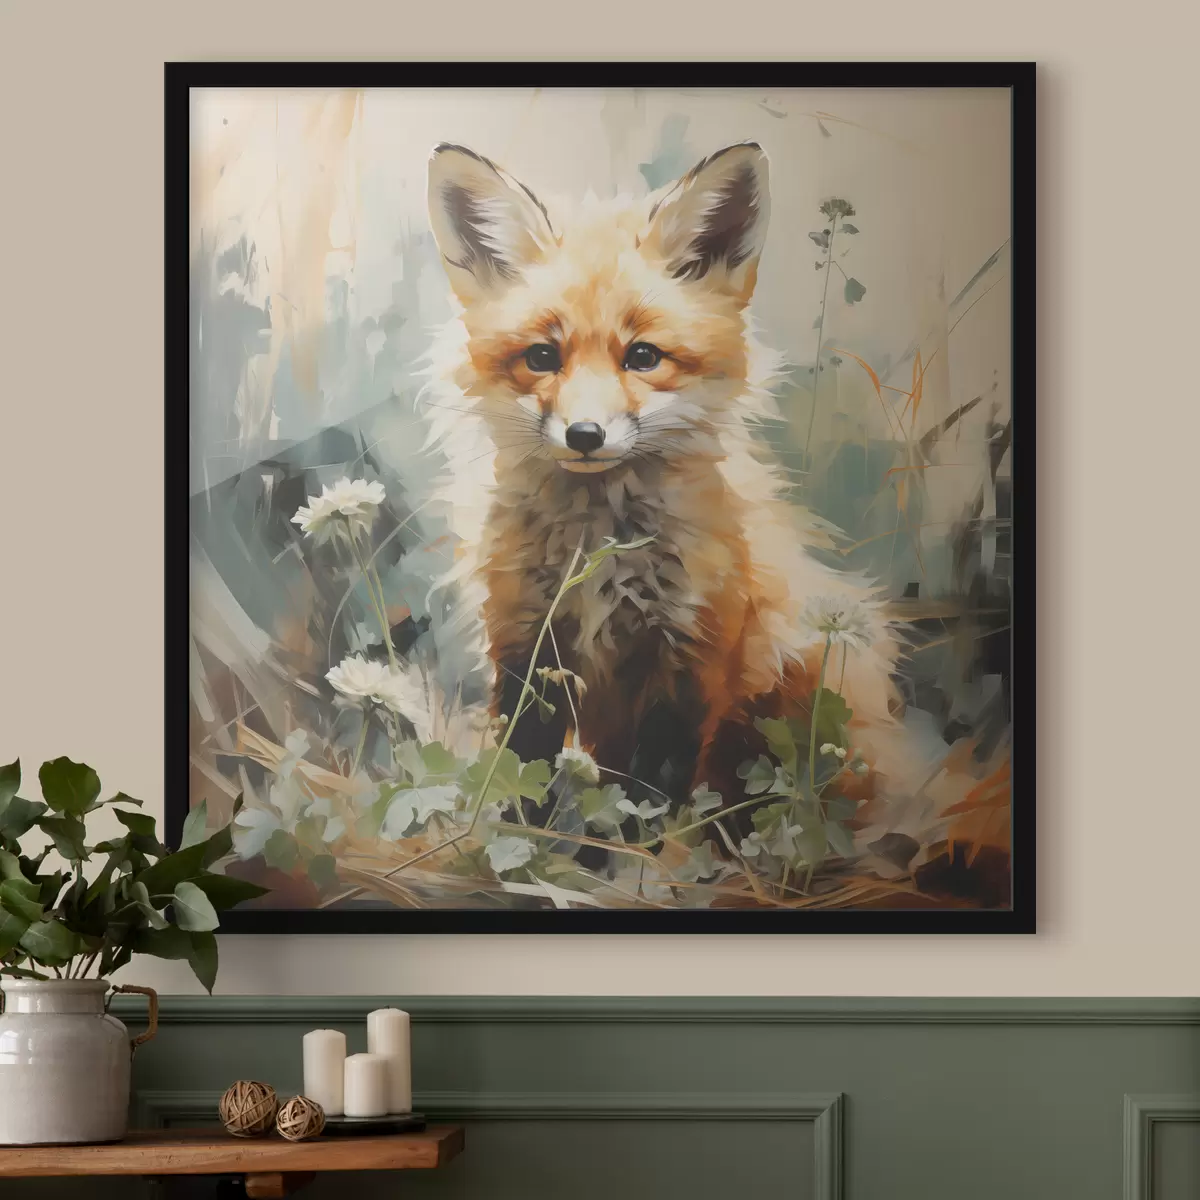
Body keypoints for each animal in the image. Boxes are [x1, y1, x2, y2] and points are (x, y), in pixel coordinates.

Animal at [422, 141, 914, 819]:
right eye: (542, 357)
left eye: (643, 357)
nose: (584, 435)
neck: (600, 549)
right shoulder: (526, 643)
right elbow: (522, 776)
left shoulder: (689, 660)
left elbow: (649, 804)